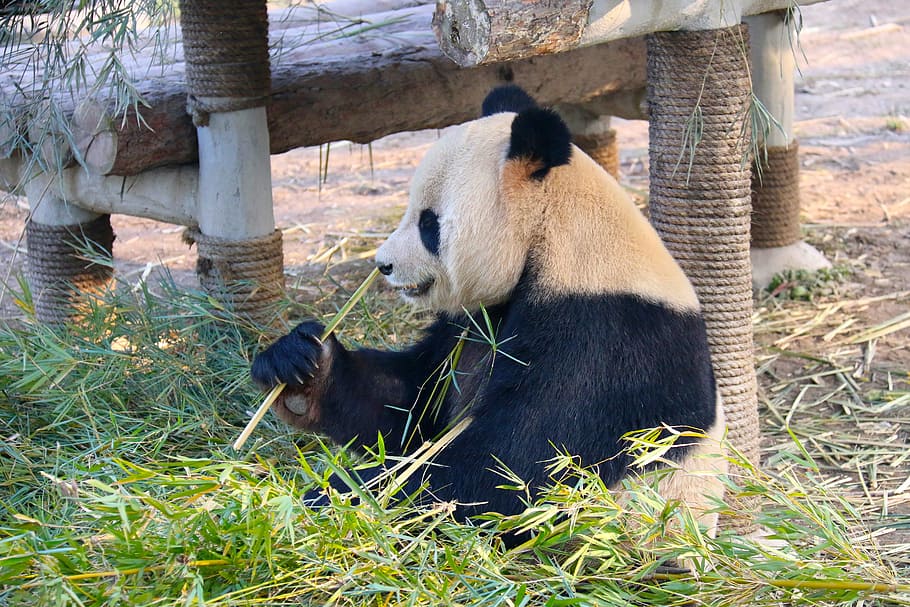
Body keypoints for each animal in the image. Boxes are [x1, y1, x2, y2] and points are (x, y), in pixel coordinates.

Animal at [252, 85, 727, 539]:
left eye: (428, 224)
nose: (383, 264)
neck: (554, 233)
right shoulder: (472, 323)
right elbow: (411, 405)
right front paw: (300, 366)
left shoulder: (602, 336)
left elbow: (511, 464)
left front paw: (337, 497)